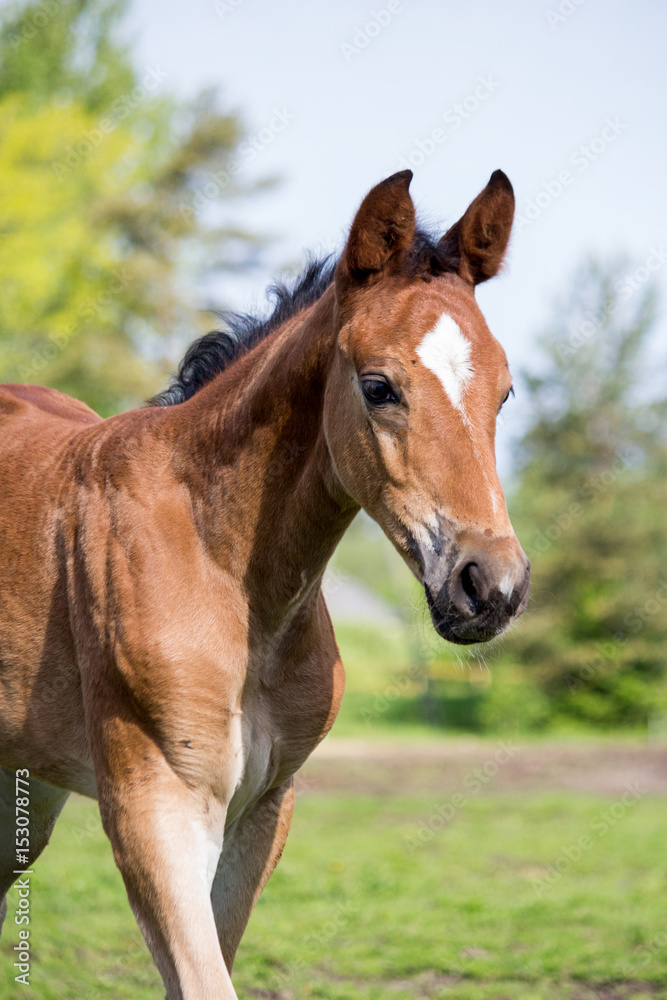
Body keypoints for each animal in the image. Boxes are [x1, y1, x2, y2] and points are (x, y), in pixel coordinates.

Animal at [0, 168, 532, 996]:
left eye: (502, 392)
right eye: (378, 385)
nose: (490, 586)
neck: (225, 571)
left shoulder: (260, 810)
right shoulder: (154, 806)